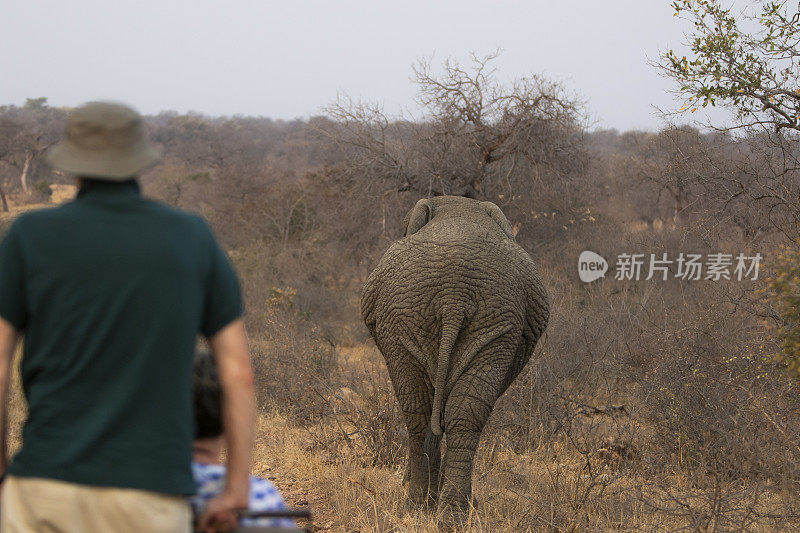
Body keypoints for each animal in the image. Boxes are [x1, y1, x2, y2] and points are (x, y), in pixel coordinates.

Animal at [362, 193, 552, 516]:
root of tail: (454, 297)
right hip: (479, 319)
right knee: (451, 412)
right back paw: (444, 512)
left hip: (436, 316)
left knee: (423, 410)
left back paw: (425, 507)